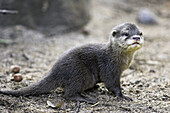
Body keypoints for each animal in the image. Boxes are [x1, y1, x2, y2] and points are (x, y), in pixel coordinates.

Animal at [0, 22, 143, 103]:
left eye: (140, 33)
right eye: (126, 33)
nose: (136, 38)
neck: (117, 57)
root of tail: (55, 71)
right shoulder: (109, 69)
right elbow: (112, 84)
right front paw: (122, 95)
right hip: (81, 73)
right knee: (68, 94)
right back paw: (86, 99)